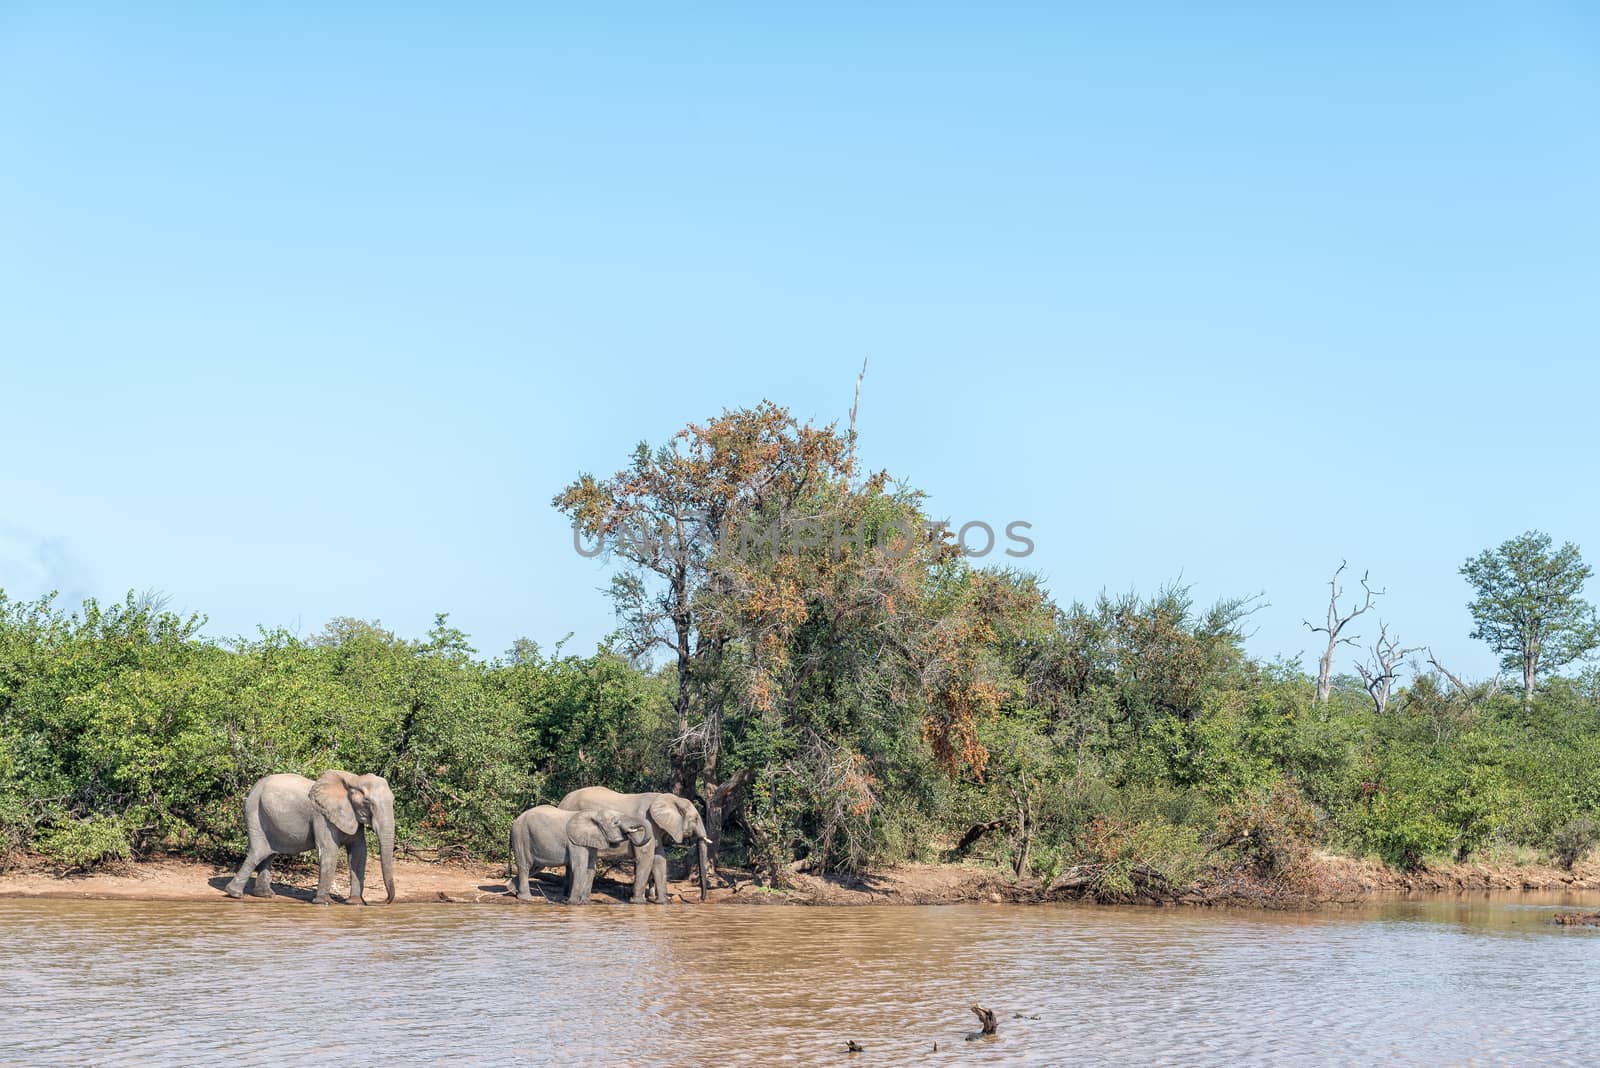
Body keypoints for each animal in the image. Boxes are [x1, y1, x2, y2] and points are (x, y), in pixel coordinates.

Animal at [222, 770, 396, 908]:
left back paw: (265, 895)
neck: (353, 779)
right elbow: (329, 850)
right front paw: (325, 903)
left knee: (269, 853)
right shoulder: (321, 816)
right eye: (367, 801)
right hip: (253, 811)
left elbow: (359, 852)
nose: (381, 902)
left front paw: (355, 903)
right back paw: (234, 894)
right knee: (258, 852)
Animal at [502, 805, 646, 908]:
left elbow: (591, 869)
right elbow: (580, 867)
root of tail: (513, 822)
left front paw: (585, 903)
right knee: (525, 865)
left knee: (535, 867)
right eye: (615, 823)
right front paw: (572, 903)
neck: (594, 813)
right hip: (521, 836)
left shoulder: (590, 840)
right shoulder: (575, 842)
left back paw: (513, 891)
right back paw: (526, 898)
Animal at [563, 783, 713, 901]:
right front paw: (638, 902)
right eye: (695, 819)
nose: (701, 899)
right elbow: (646, 857)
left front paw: (663, 903)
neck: (670, 798)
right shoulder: (646, 823)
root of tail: (563, 800)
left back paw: (567, 896)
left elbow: (660, 859)